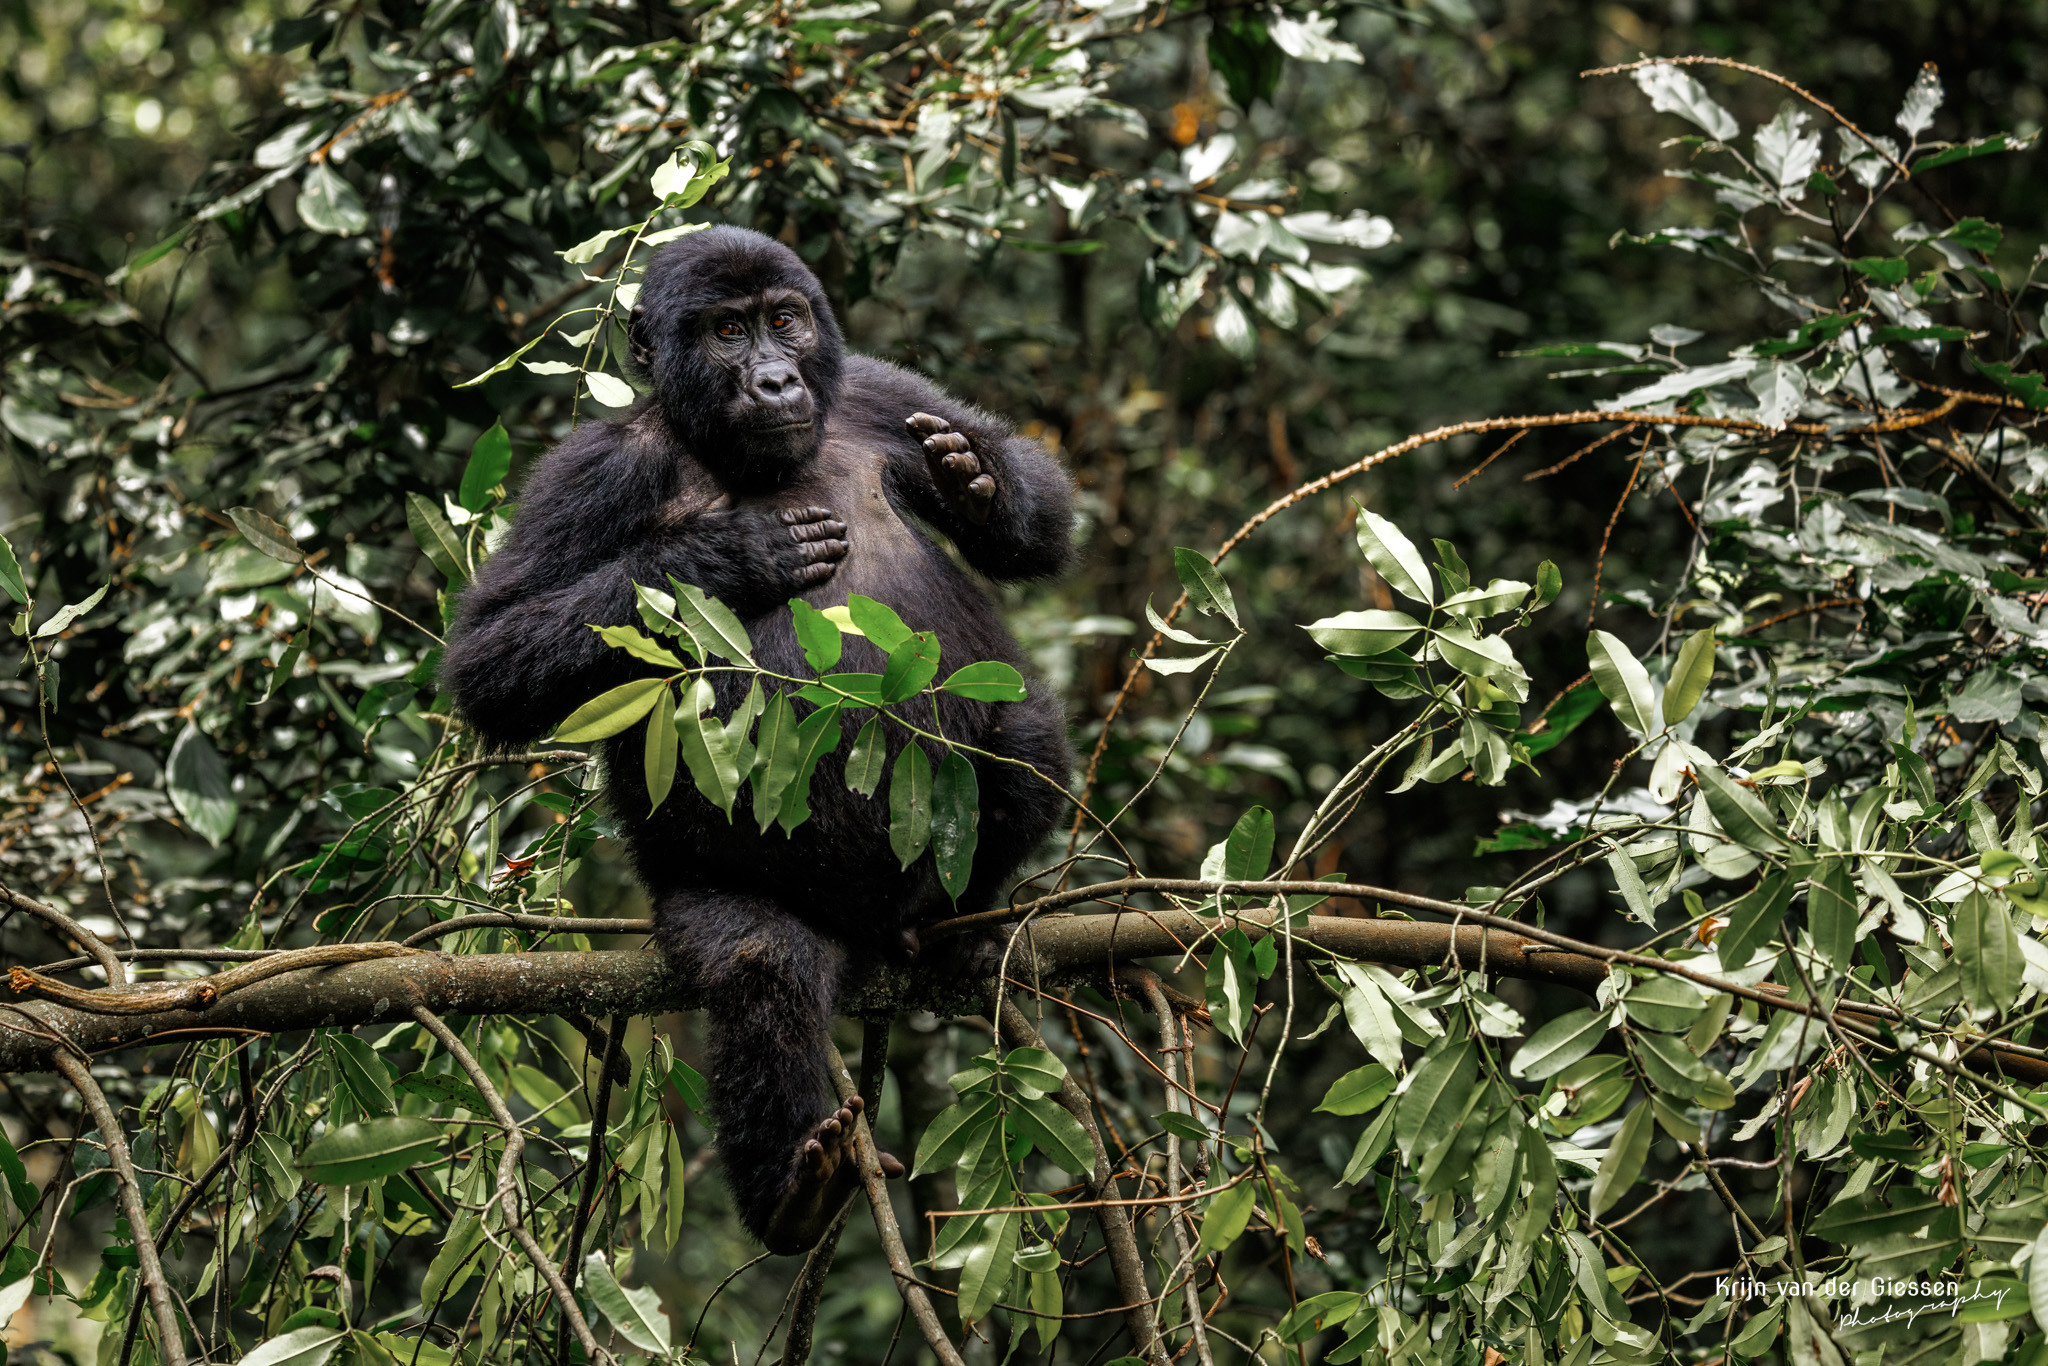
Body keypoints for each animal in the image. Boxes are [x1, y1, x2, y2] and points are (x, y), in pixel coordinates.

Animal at [440, 226, 1074, 1253]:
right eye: (727, 332)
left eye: (785, 319)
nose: (775, 379)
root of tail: (867, 935)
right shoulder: (595, 469)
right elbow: (492, 656)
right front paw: (730, 554)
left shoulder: (874, 391)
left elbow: (1041, 526)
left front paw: (978, 481)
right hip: (711, 897)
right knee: (759, 965)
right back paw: (792, 1191)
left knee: (1026, 734)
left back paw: (957, 928)